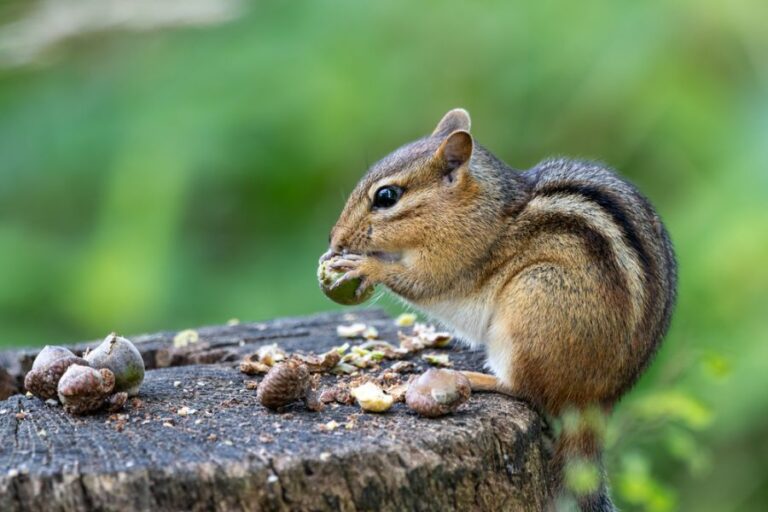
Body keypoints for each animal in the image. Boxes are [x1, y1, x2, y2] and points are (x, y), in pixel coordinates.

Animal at [322, 109, 677, 511]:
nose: (335, 239)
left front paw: (365, 267)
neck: (479, 208)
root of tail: (597, 403)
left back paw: (476, 378)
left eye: (386, 196)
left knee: (522, 389)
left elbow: (422, 282)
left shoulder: (453, 258)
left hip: (532, 305)